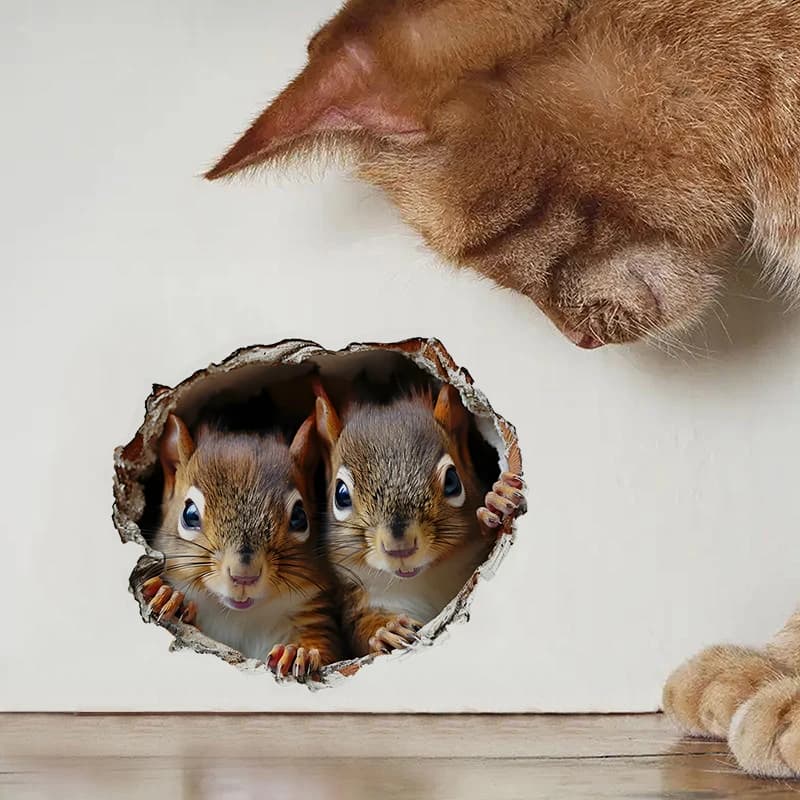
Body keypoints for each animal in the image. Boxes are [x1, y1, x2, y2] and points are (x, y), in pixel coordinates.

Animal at [143, 412, 343, 680]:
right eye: (190, 514)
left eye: (300, 517)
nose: (244, 575)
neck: (241, 617)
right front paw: (169, 596)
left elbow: (326, 647)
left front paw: (297, 652)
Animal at [313, 380, 526, 657]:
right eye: (341, 495)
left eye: (452, 481)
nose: (399, 547)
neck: (422, 580)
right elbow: (360, 629)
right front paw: (386, 631)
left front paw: (497, 502)